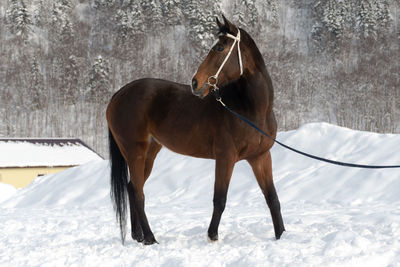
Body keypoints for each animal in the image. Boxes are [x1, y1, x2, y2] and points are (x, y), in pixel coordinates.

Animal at [106, 15, 284, 246]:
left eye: (220, 47)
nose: (195, 82)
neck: (251, 110)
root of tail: (118, 93)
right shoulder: (225, 158)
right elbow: (220, 199)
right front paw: (212, 236)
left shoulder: (261, 157)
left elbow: (272, 198)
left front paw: (281, 234)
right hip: (135, 152)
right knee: (138, 193)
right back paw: (150, 238)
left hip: (149, 153)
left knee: (131, 188)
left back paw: (139, 236)